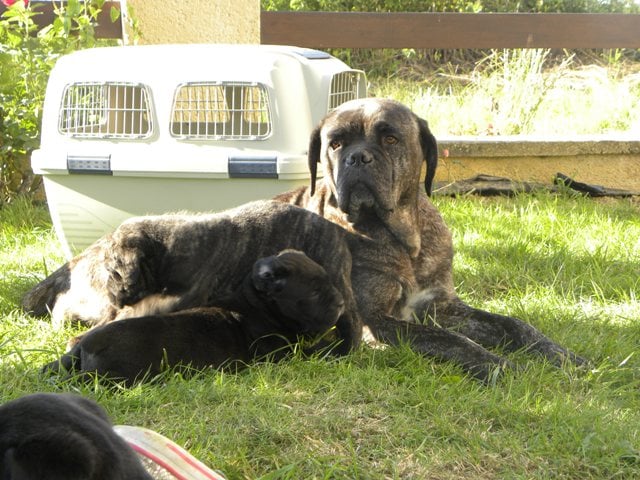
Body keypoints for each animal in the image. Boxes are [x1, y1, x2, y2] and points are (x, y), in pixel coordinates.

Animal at [42, 249, 344, 384]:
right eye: (315, 292)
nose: (341, 303)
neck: (258, 306)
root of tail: (84, 346)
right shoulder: (281, 354)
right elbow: (311, 351)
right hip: (114, 376)